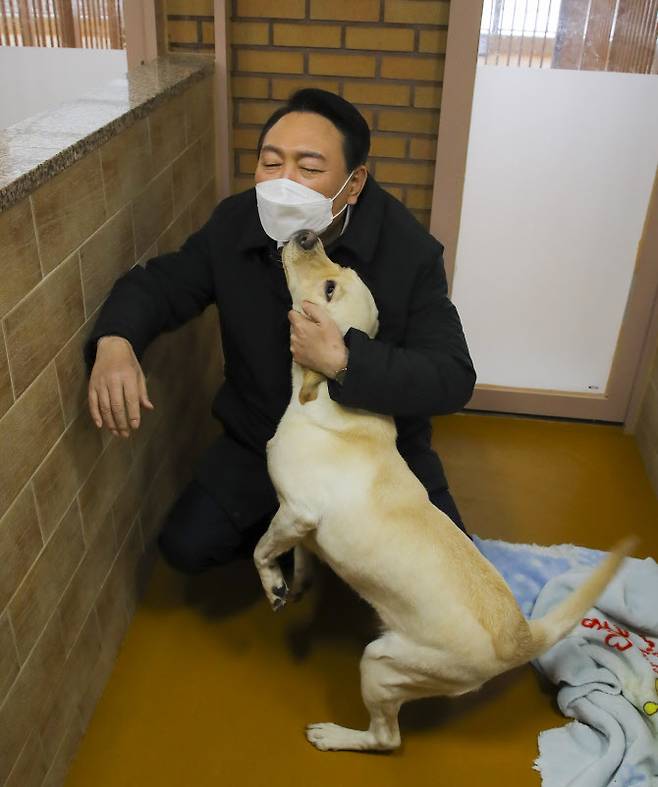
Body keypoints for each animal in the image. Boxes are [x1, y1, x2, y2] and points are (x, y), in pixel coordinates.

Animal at [252, 226, 632, 752]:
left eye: (331, 288)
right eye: (338, 267)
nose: (308, 235)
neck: (324, 395)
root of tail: (520, 637)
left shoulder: (296, 510)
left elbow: (261, 548)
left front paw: (272, 584)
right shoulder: (300, 521)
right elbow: (302, 554)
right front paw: (297, 584)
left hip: (382, 664)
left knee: (387, 739)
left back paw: (335, 735)